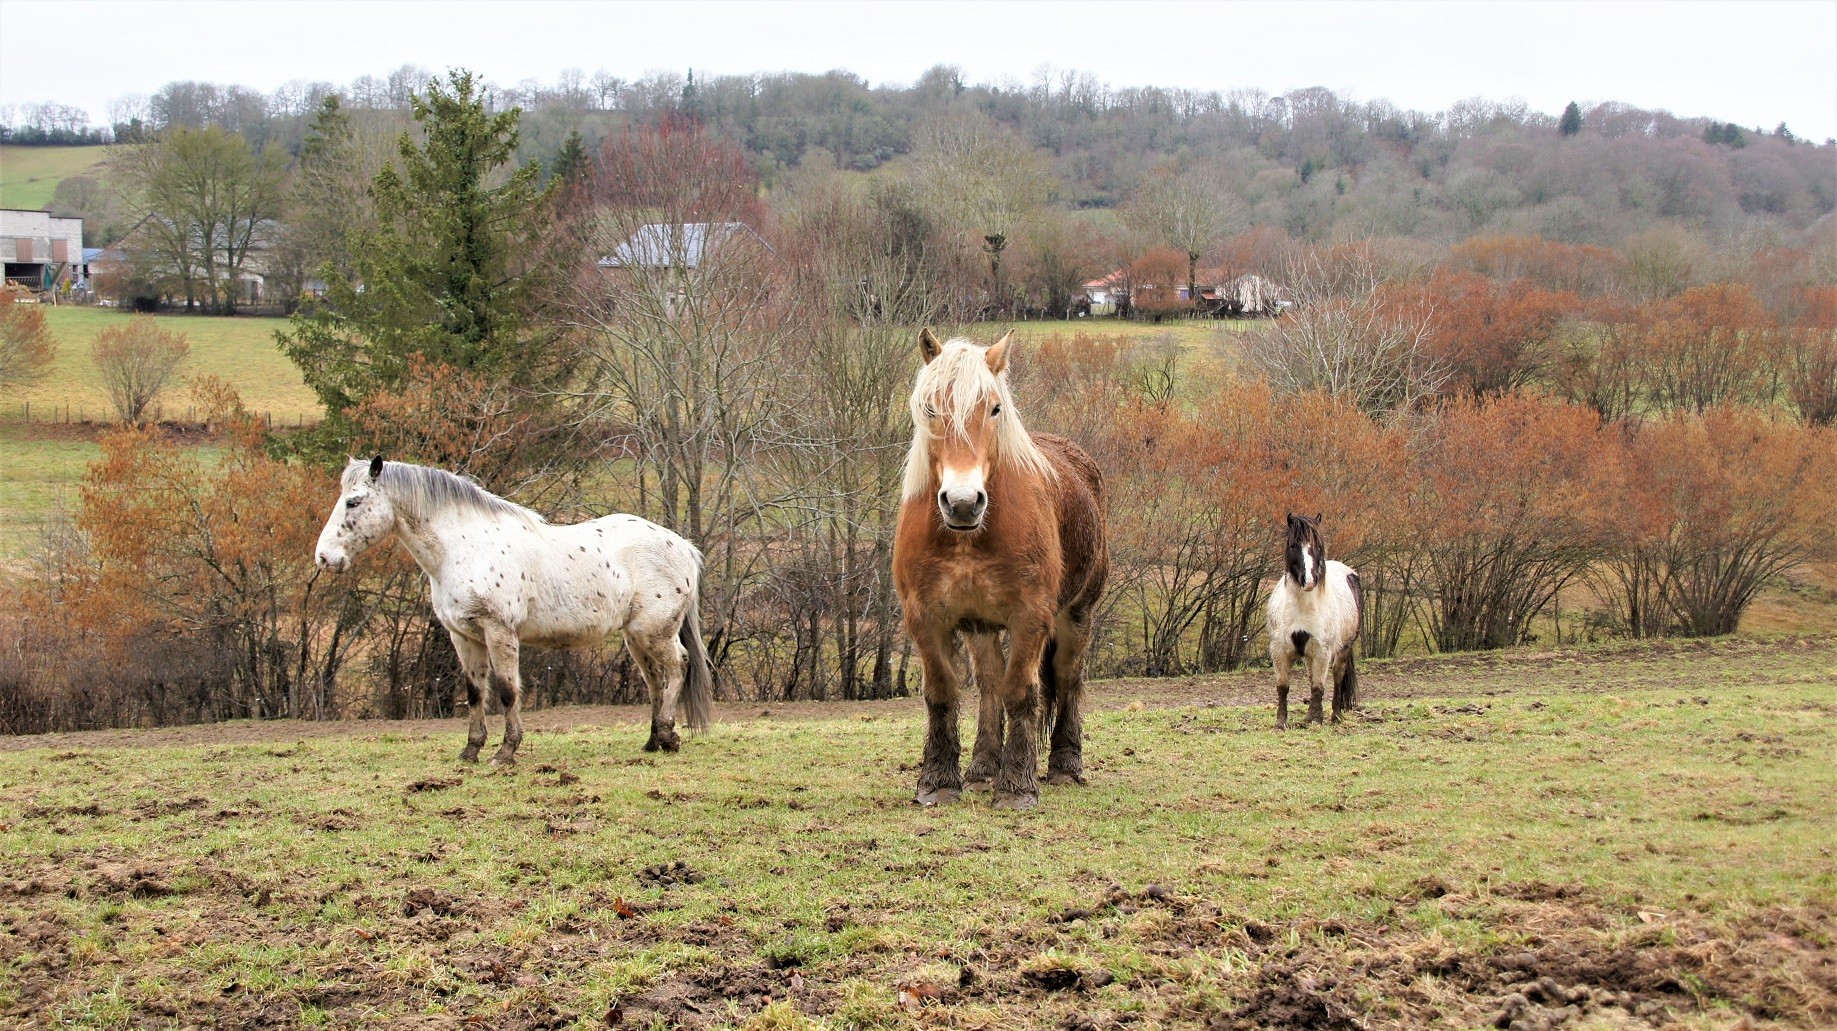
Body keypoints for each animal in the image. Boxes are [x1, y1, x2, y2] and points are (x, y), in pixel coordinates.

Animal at [889, 328, 1102, 812]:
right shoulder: (926, 619)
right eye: (931, 408)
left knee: (1067, 678)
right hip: (980, 626)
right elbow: (943, 694)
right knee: (988, 685)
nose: (963, 502)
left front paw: (1017, 787)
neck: (969, 537)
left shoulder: (1030, 617)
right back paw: (984, 768)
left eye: (994, 408)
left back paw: (1064, 765)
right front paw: (938, 781)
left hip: (1076, 614)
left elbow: (1022, 692)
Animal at [1263, 510, 1366, 724]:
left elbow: (1319, 686)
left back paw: (1335, 716)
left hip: (1342, 650)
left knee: (1337, 677)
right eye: (1293, 545)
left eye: (1318, 546)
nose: (1309, 580)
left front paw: (1316, 720)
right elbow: (1283, 687)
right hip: (1308, 656)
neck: (1303, 607)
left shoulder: (1322, 651)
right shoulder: (1279, 650)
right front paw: (1281, 723)